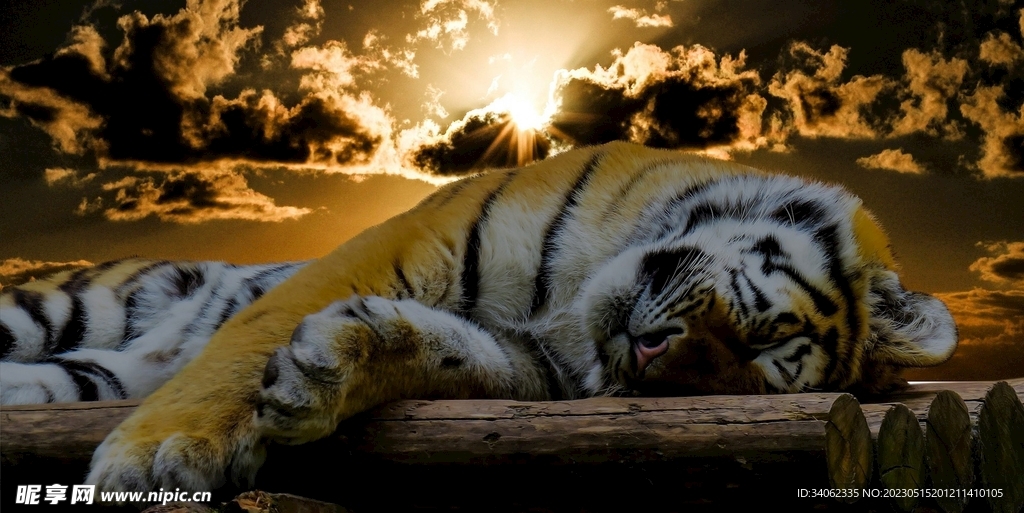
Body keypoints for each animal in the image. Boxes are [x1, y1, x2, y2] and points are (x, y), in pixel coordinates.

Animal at [0, 141, 957, 494]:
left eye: (737, 375)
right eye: (757, 338)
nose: (648, 360)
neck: (572, 301)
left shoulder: (532, 365)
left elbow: (451, 353)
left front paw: (329, 366)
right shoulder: (407, 238)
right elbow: (251, 334)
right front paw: (158, 455)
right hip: (59, 309)